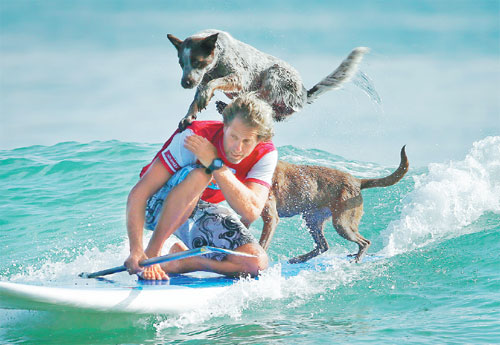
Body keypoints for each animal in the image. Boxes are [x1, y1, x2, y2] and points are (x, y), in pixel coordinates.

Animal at [167, 28, 368, 129]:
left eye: (197, 61)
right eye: (181, 63)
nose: (185, 83)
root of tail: (304, 94)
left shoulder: (238, 77)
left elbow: (213, 83)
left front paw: (205, 96)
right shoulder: (202, 80)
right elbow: (198, 95)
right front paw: (188, 116)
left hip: (275, 74)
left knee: (261, 96)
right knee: (270, 110)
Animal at [260, 144, 408, 260]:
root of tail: (357, 181)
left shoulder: (271, 219)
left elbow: (262, 245)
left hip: (342, 224)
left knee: (364, 242)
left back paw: (357, 258)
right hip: (312, 219)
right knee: (323, 245)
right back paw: (298, 259)